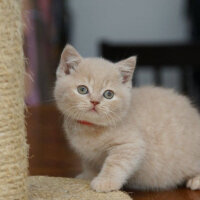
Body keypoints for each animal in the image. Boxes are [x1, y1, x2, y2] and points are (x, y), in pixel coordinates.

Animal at [54, 44, 200, 192]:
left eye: (108, 94)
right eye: (82, 89)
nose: (95, 102)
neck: (90, 128)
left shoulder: (131, 144)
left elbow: (115, 163)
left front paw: (105, 182)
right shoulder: (87, 155)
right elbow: (89, 164)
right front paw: (87, 176)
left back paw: (196, 180)